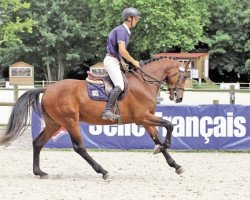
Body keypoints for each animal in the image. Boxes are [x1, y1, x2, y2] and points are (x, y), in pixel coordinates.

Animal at [0, 56, 189, 180]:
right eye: (185, 76)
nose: (179, 98)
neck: (143, 83)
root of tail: (48, 89)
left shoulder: (146, 120)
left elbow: (158, 138)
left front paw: (175, 165)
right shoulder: (143, 117)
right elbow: (169, 125)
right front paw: (164, 147)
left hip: (54, 123)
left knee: (38, 143)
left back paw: (39, 172)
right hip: (70, 121)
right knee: (79, 147)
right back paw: (103, 171)